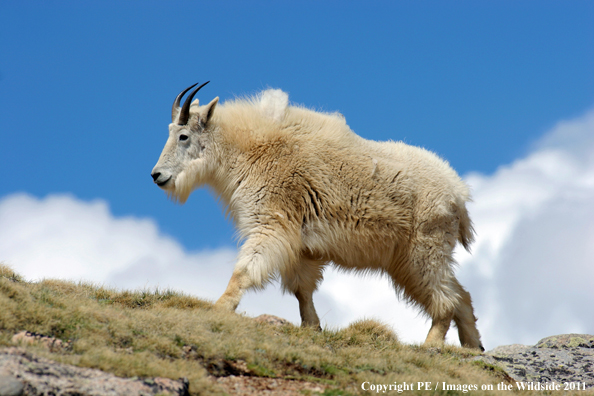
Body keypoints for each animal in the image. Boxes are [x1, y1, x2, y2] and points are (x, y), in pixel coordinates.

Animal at [151, 81, 480, 350]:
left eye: (183, 136)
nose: (157, 176)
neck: (248, 151)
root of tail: (459, 195)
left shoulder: (271, 223)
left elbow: (245, 271)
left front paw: (219, 308)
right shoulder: (303, 246)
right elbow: (301, 290)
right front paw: (312, 326)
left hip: (423, 249)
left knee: (446, 298)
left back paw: (432, 345)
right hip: (409, 257)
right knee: (461, 294)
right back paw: (474, 346)